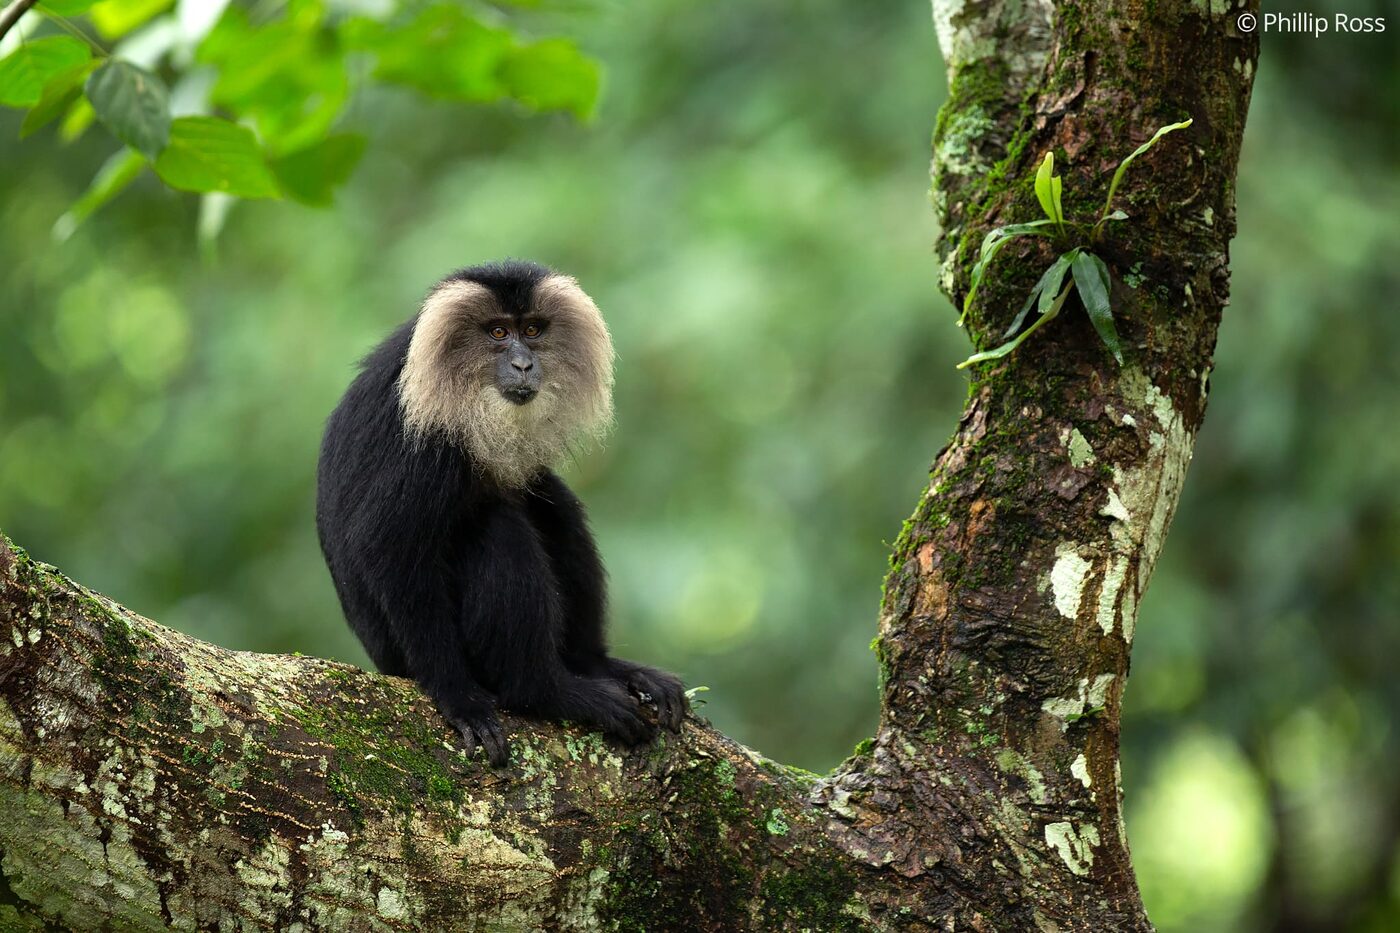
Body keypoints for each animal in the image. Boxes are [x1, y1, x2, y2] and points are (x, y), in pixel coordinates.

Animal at [316, 260, 687, 766]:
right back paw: (547, 692)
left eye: (531, 330)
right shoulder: (427, 438)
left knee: (551, 503)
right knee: (497, 527)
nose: (523, 364)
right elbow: (388, 549)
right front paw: (459, 699)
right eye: (497, 332)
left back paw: (598, 666)